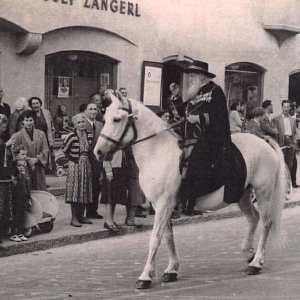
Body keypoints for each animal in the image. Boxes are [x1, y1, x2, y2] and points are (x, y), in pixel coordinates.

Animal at [94, 91, 286, 288]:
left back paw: (256, 263)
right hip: (242, 195)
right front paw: (171, 270)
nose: (98, 152)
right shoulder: (161, 205)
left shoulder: (164, 204)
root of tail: (264, 140)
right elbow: (168, 236)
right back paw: (249, 253)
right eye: (105, 118)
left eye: (117, 119)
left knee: (265, 222)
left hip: (263, 193)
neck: (158, 152)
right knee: (253, 218)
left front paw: (145, 276)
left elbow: (155, 238)